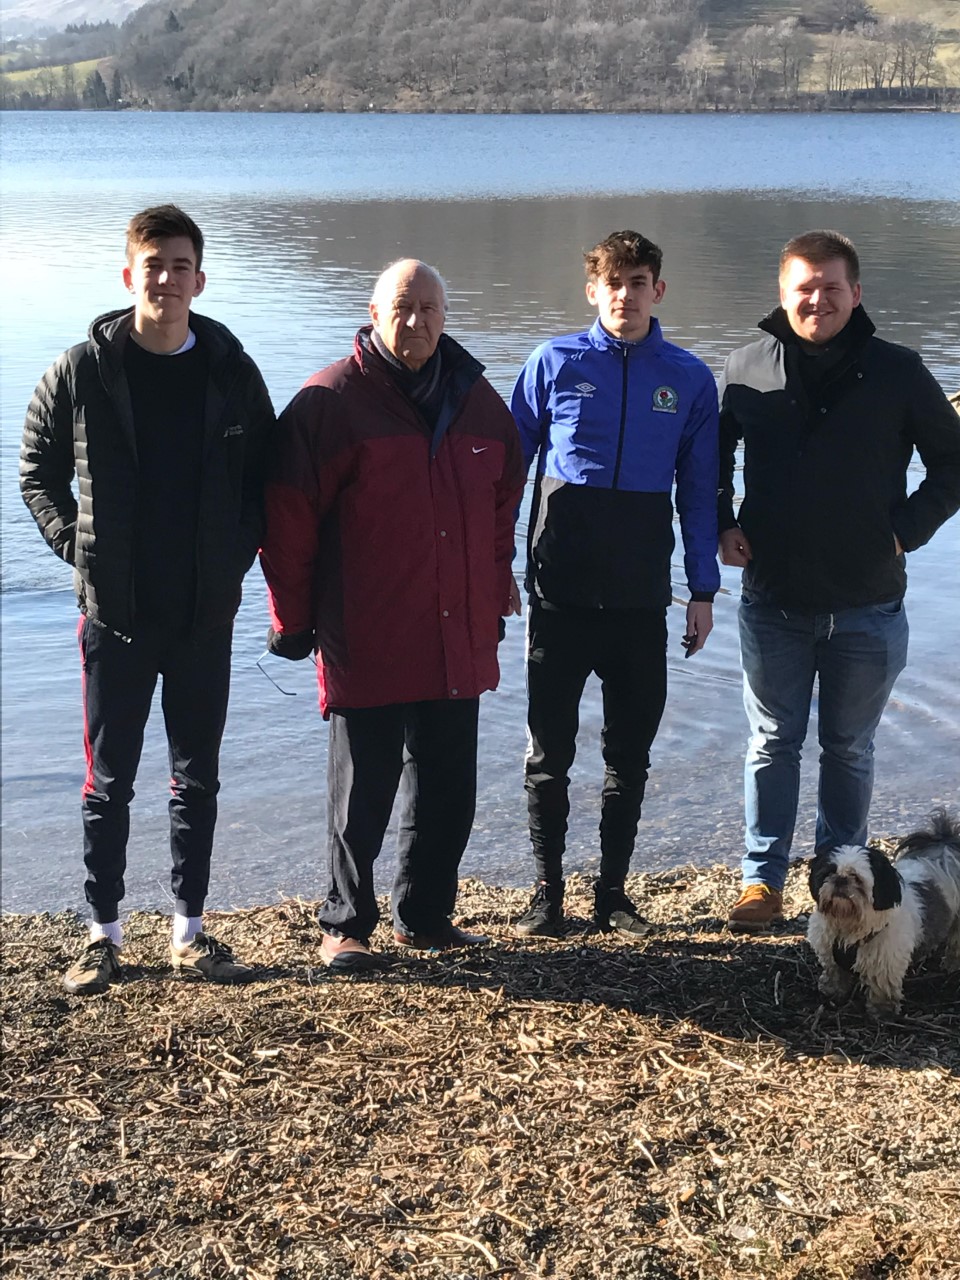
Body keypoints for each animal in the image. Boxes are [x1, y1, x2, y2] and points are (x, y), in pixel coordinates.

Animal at [814, 814, 960, 1013]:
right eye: (828, 873)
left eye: (856, 878)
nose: (840, 880)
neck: (847, 920)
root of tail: (944, 850)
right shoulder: (829, 952)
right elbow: (834, 972)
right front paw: (831, 990)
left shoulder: (884, 964)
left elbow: (882, 989)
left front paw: (882, 1012)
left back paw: (952, 964)